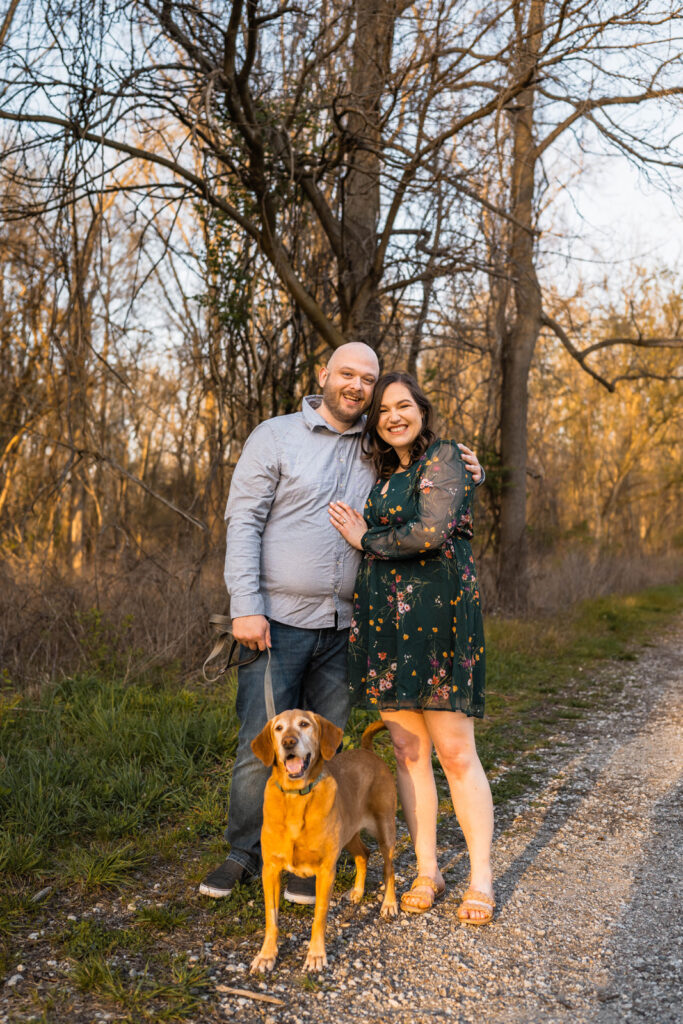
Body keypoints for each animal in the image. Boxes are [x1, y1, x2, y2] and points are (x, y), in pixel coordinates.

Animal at [248, 708, 397, 970]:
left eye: (304, 724)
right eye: (278, 728)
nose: (288, 742)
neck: (296, 797)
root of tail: (368, 752)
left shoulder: (326, 870)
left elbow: (319, 915)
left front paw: (316, 955)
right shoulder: (271, 870)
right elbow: (271, 918)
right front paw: (266, 955)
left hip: (385, 830)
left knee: (389, 868)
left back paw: (389, 903)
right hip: (349, 835)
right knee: (364, 854)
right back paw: (358, 891)